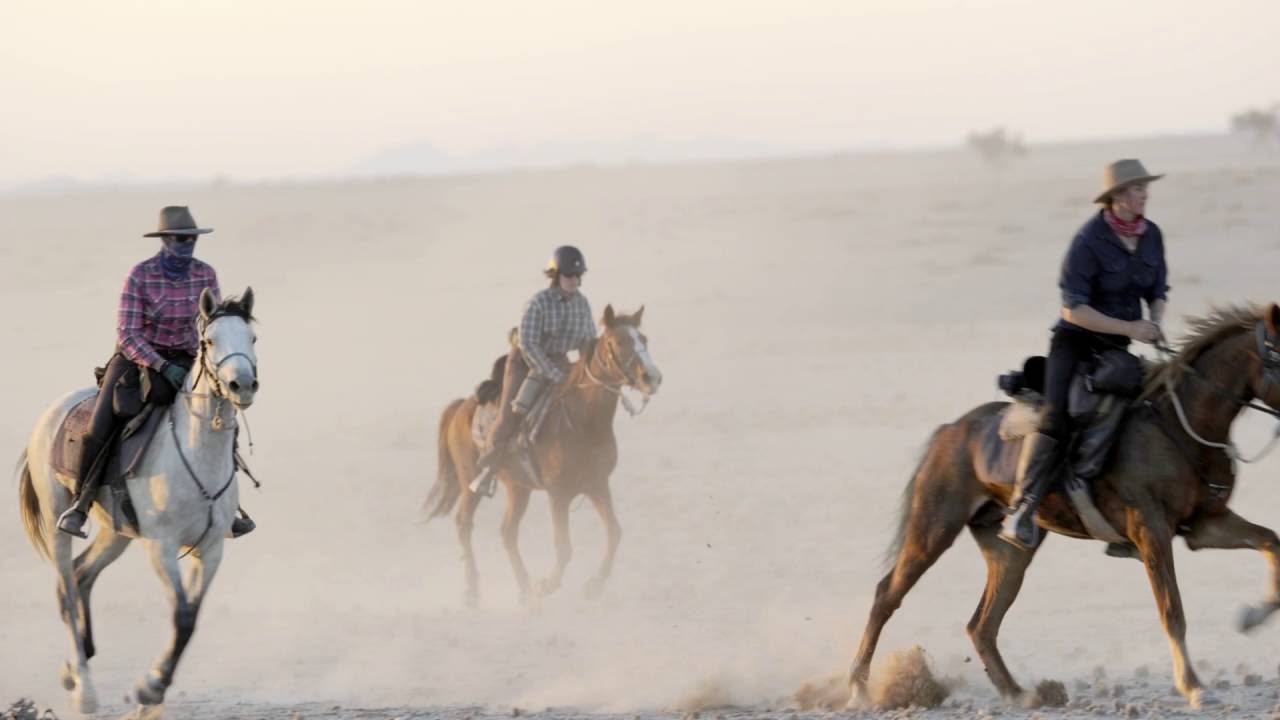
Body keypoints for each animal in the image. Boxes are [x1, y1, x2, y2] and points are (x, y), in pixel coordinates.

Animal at [17, 288, 259, 714]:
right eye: (210, 341)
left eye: (253, 339)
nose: (241, 385)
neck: (196, 453)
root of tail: (50, 414)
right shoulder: (161, 547)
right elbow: (181, 614)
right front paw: (149, 691)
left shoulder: (210, 549)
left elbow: (189, 618)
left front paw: (152, 690)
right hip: (57, 518)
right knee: (66, 589)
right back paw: (84, 690)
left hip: (116, 533)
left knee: (81, 575)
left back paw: (73, 668)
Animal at [426, 304, 662, 606]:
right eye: (618, 342)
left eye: (644, 339)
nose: (652, 377)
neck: (582, 418)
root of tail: (459, 408)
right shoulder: (558, 494)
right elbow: (564, 548)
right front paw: (546, 585)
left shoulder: (597, 485)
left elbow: (614, 533)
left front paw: (593, 586)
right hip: (471, 481)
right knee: (464, 524)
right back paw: (473, 592)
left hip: (518, 488)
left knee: (507, 533)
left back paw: (525, 590)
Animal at [848, 303, 1280, 710]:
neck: (1179, 425)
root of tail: (949, 431)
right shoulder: (1152, 531)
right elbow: (1171, 609)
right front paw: (1194, 688)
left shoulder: (1204, 525)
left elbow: (1269, 540)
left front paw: (1252, 617)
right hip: (934, 528)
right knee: (888, 595)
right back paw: (857, 690)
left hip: (1009, 551)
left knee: (982, 624)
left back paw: (1019, 694)